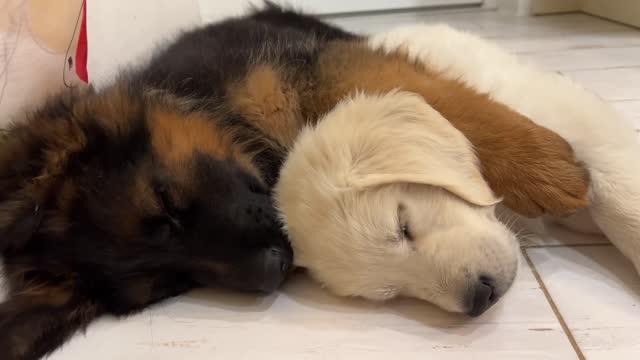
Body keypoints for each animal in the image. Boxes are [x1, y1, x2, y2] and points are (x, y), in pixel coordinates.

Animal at [1, 3, 592, 360]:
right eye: (169, 285)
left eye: (165, 202)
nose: (273, 271)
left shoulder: (314, 68)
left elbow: (442, 98)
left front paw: (547, 168)